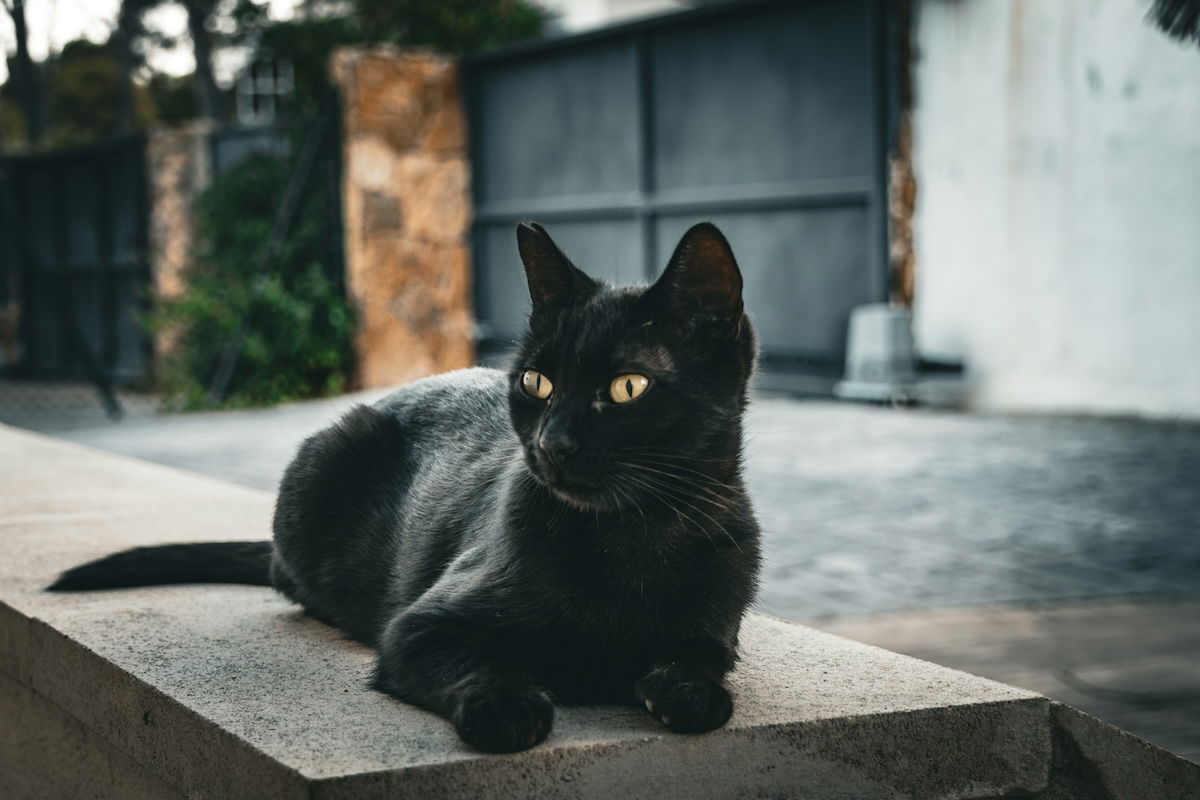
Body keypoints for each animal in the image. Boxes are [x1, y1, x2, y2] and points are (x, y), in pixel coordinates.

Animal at [49, 221, 758, 753]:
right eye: (536, 383)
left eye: (628, 387)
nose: (551, 443)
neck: (630, 538)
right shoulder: (421, 626)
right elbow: (481, 661)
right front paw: (508, 708)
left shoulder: (715, 631)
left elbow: (697, 675)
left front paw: (681, 691)